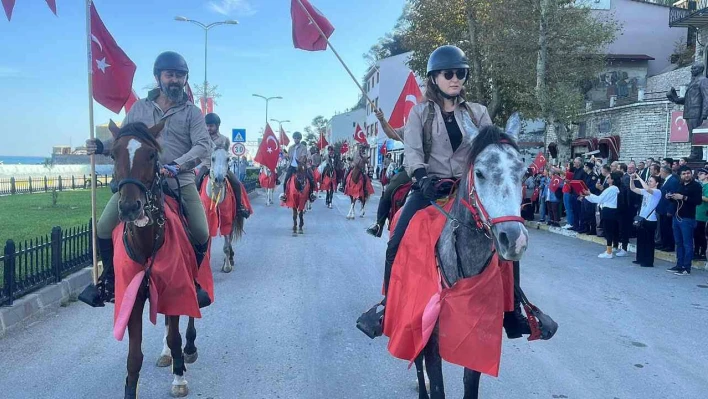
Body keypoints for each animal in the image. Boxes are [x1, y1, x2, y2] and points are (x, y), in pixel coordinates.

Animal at [108, 120, 203, 398]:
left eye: (151, 155)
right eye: (113, 154)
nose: (130, 207)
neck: (148, 240)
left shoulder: (177, 285)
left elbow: (175, 336)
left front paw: (179, 378)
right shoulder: (133, 297)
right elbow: (134, 356)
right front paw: (130, 390)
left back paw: (188, 349)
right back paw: (166, 354)